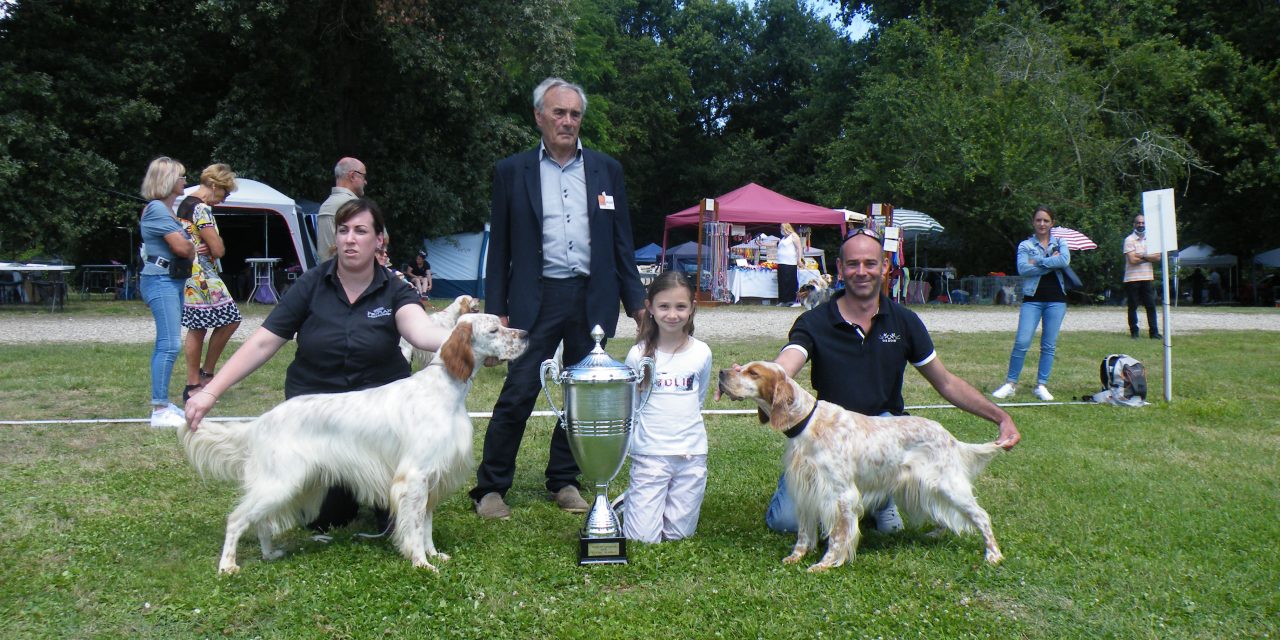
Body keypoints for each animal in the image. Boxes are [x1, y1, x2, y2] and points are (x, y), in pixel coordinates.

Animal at [180, 314, 524, 576]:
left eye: (502, 323)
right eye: (494, 330)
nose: (526, 334)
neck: (445, 390)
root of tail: (262, 421)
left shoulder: (432, 479)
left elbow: (425, 526)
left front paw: (433, 554)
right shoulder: (413, 478)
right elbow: (413, 527)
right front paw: (420, 563)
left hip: (287, 484)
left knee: (262, 522)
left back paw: (269, 554)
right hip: (280, 482)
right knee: (237, 519)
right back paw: (227, 566)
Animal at [716, 360, 1003, 570]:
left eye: (753, 372)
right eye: (741, 367)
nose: (721, 372)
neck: (808, 421)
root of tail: (949, 437)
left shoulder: (841, 494)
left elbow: (837, 536)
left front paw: (825, 564)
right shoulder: (806, 489)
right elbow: (804, 534)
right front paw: (796, 556)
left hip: (948, 484)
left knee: (981, 516)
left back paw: (993, 555)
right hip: (927, 486)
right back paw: (935, 534)